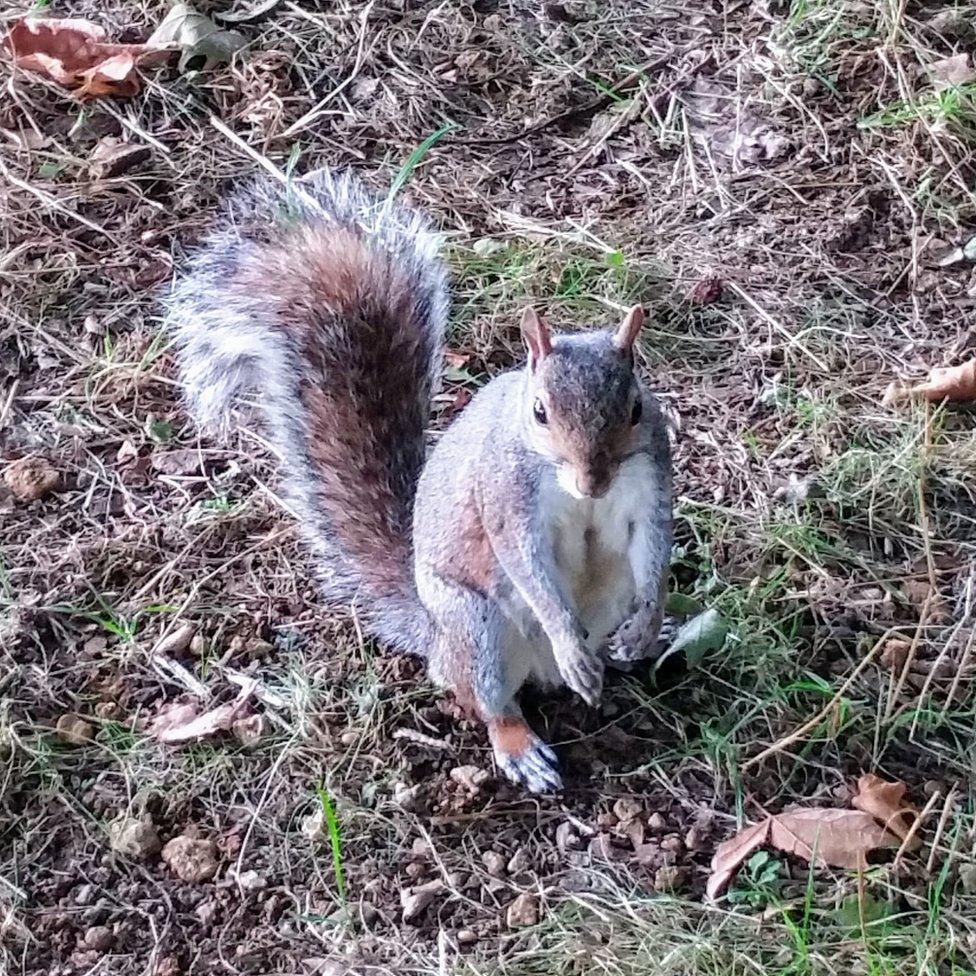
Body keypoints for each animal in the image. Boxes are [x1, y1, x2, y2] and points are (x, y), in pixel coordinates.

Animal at [166, 170, 672, 792]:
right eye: (539, 412)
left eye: (635, 408)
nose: (593, 481)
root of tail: (434, 637)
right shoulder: (505, 498)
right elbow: (527, 566)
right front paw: (567, 638)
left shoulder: (650, 481)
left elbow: (654, 549)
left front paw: (649, 621)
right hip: (475, 628)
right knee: (486, 701)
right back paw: (525, 736)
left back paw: (638, 645)